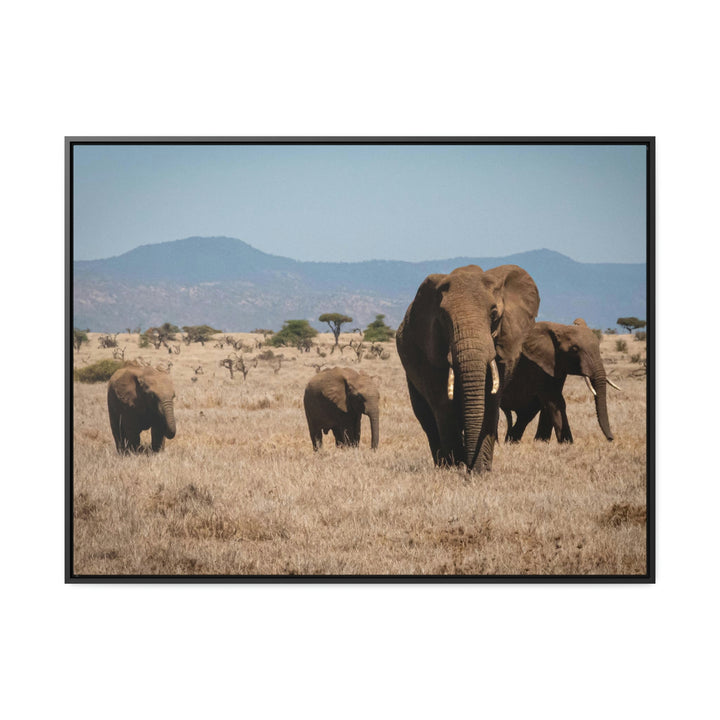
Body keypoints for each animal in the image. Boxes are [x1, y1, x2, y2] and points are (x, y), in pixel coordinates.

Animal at [394, 264, 540, 472]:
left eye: (494, 314)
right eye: (444, 317)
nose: (468, 466)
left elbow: (490, 402)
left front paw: (480, 471)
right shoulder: (431, 354)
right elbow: (443, 406)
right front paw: (456, 468)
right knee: (427, 419)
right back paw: (442, 465)